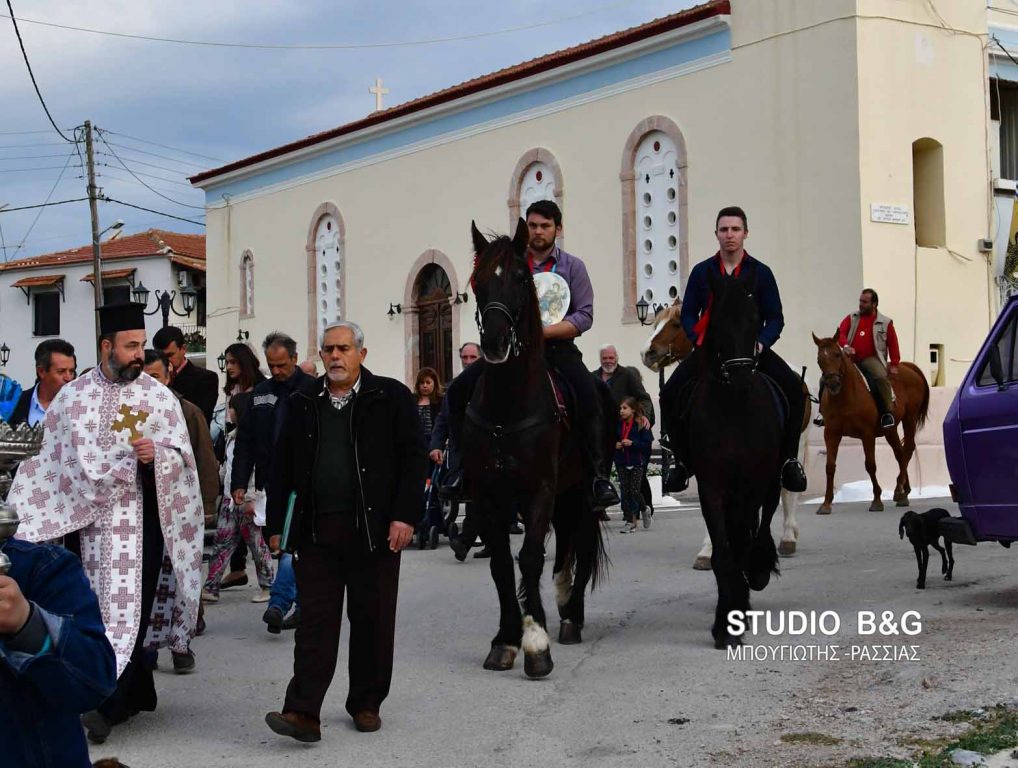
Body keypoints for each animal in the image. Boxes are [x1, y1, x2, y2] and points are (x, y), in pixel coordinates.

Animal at [460, 216, 602, 676]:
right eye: (479, 281)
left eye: (522, 278)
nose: (495, 344)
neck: (508, 406)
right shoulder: (488, 493)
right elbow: (504, 564)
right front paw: (506, 639)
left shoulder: (541, 487)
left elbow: (530, 557)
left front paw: (536, 642)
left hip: (581, 490)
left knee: (581, 544)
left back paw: (570, 616)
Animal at [643, 299, 810, 562]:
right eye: (656, 322)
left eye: (676, 323)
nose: (646, 353)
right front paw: (709, 550)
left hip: (796, 445)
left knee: (787, 491)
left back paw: (788, 537)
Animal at [680, 268, 781, 647]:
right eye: (719, 320)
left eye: (754, 319)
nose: (739, 376)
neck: (733, 408)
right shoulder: (712, 486)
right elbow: (723, 551)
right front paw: (726, 622)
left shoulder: (752, 483)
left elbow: (742, 541)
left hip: (772, 479)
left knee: (765, 519)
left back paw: (759, 568)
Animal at [810, 332, 932, 511]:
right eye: (819, 359)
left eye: (837, 354)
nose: (832, 383)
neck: (845, 397)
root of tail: (908, 367)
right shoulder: (831, 433)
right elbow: (830, 466)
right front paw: (826, 504)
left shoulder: (867, 434)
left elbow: (870, 465)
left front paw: (877, 500)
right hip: (890, 429)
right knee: (900, 453)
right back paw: (903, 490)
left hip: (910, 418)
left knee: (908, 449)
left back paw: (900, 492)